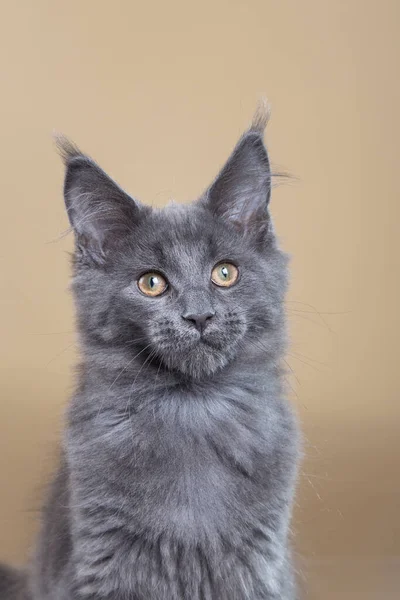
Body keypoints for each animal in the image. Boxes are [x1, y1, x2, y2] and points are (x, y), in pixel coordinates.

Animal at [0, 104, 300, 600]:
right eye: (152, 283)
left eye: (225, 273)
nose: (199, 316)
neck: (192, 410)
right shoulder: (104, 560)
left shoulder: (257, 563)